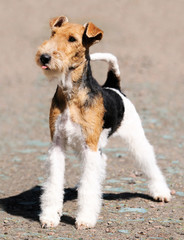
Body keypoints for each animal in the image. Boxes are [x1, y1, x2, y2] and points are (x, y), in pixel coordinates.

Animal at [35, 15, 171, 230]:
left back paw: (161, 192)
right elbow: (54, 183)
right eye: (53, 34)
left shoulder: (90, 145)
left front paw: (85, 219)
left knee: (149, 162)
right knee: (102, 162)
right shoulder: (57, 144)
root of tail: (114, 87)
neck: (71, 94)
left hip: (135, 137)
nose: (45, 57)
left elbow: (89, 187)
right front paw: (50, 217)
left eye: (72, 39)